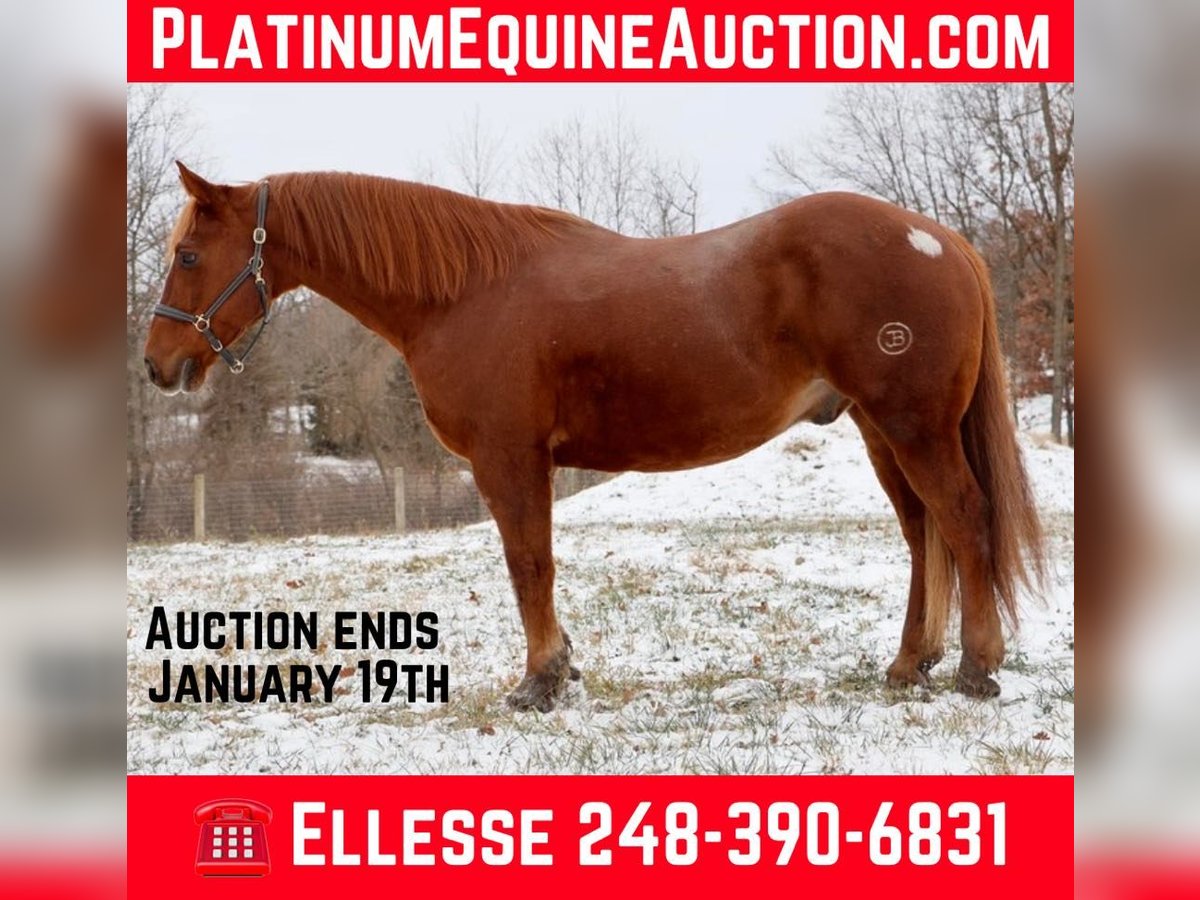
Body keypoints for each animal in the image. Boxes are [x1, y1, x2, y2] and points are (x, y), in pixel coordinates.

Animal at [144, 163, 1045, 712]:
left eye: (187, 254)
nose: (158, 365)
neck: (463, 292)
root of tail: (941, 239)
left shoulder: (510, 458)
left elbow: (529, 563)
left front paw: (540, 681)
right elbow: (533, 565)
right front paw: (561, 666)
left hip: (913, 426)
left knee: (964, 521)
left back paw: (976, 668)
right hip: (879, 429)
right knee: (924, 533)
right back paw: (908, 665)